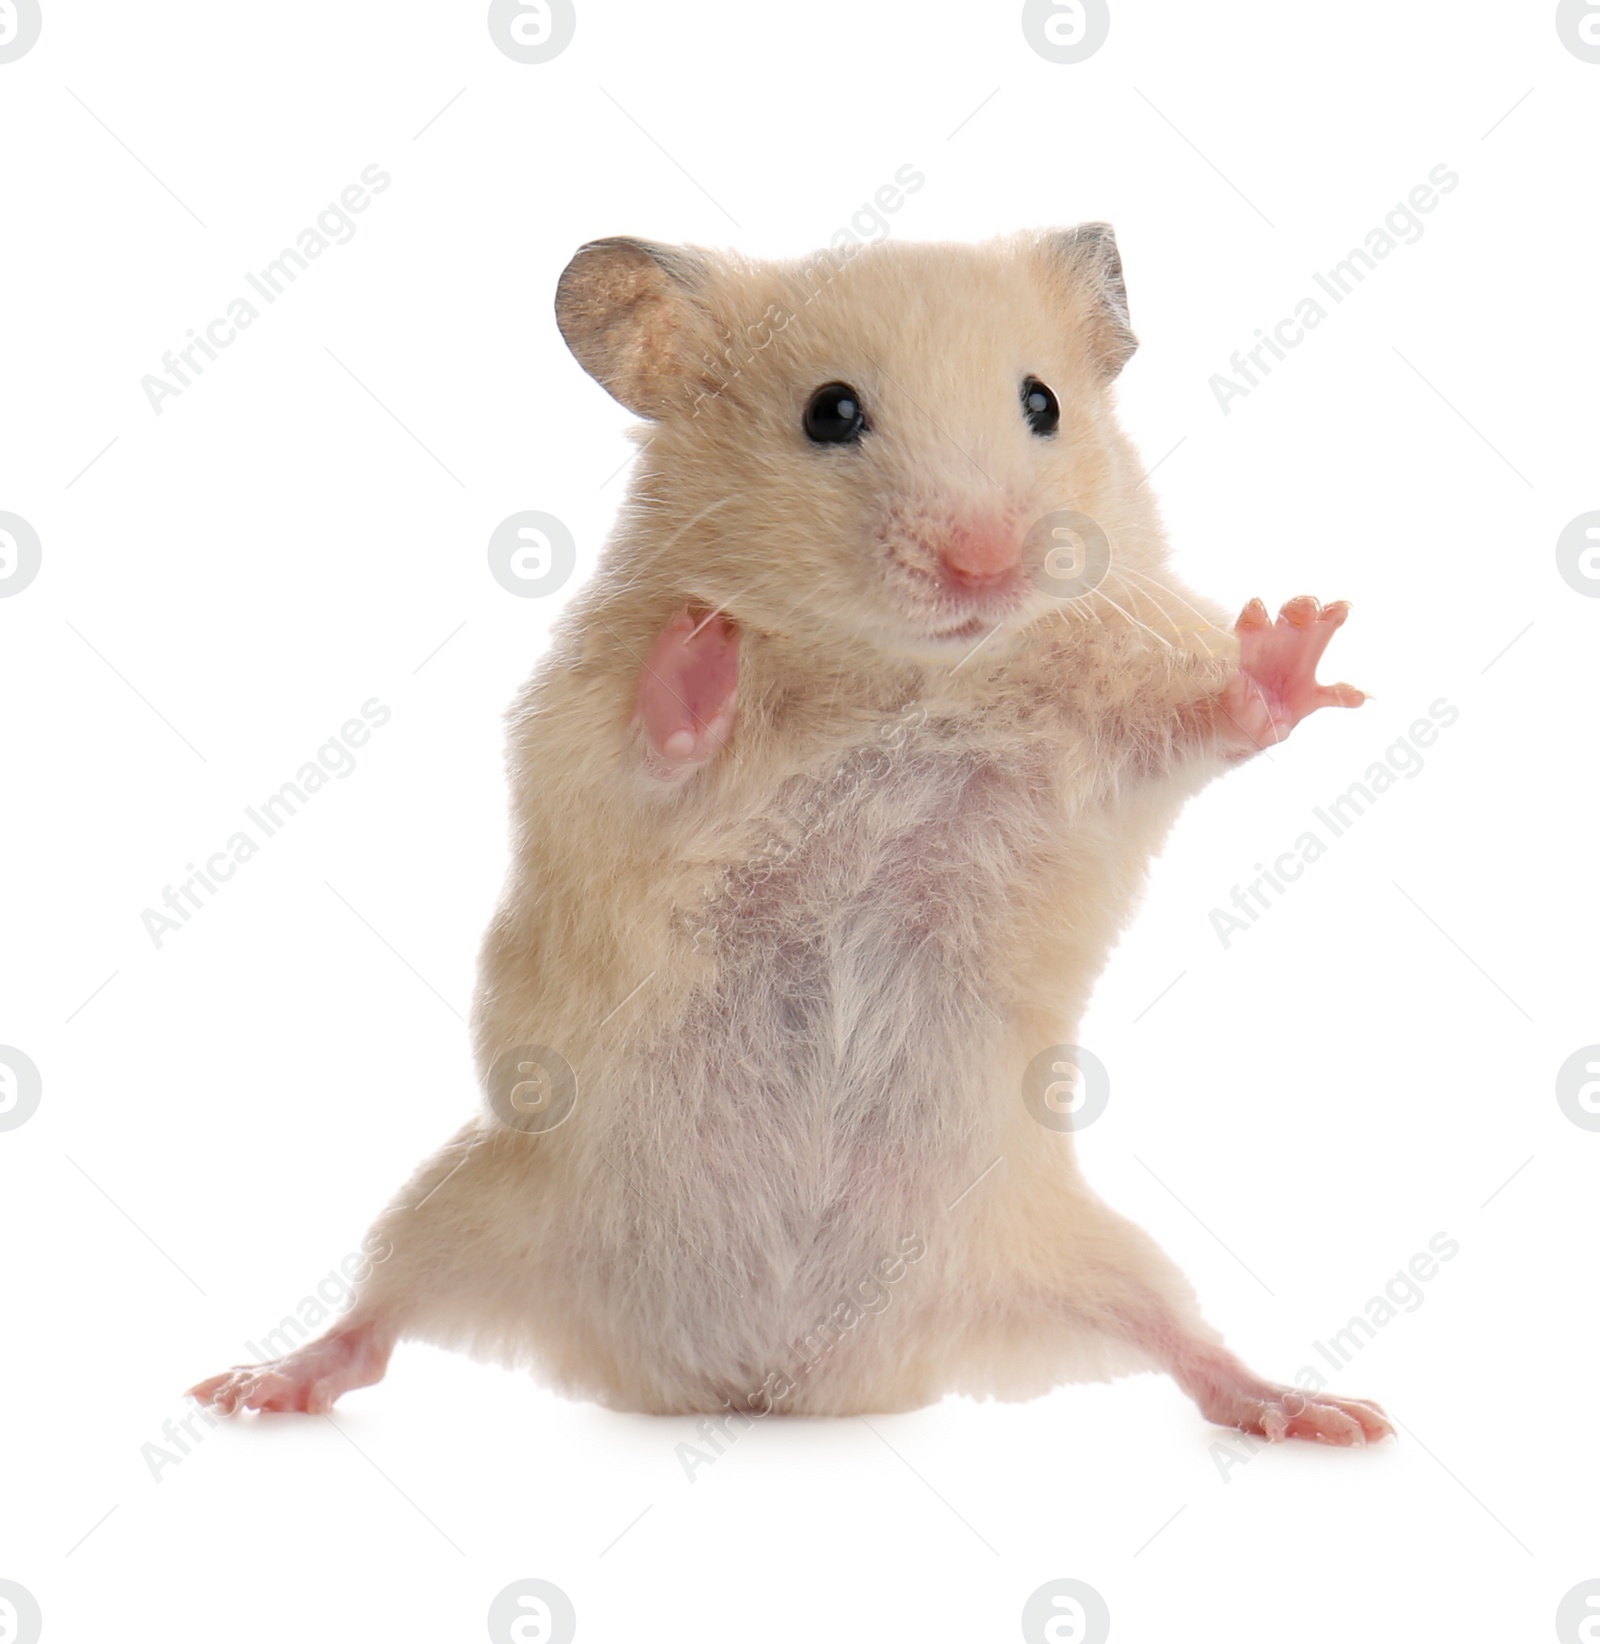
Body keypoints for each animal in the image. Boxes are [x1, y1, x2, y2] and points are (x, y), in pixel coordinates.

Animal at [187, 225, 1387, 1446]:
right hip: (467, 1200)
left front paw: (1297, 633)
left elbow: (1208, 719)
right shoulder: (593, 751)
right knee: (374, 1319)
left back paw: (1324, 1413)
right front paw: (706, 649)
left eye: (1042, 402)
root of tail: (775, 1381)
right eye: (830, 413)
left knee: (1185, 1344)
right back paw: (254, 1387)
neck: (908, 675)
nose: (985, 561)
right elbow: (657, 743)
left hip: (1079, 1246)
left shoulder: (1105, 737)